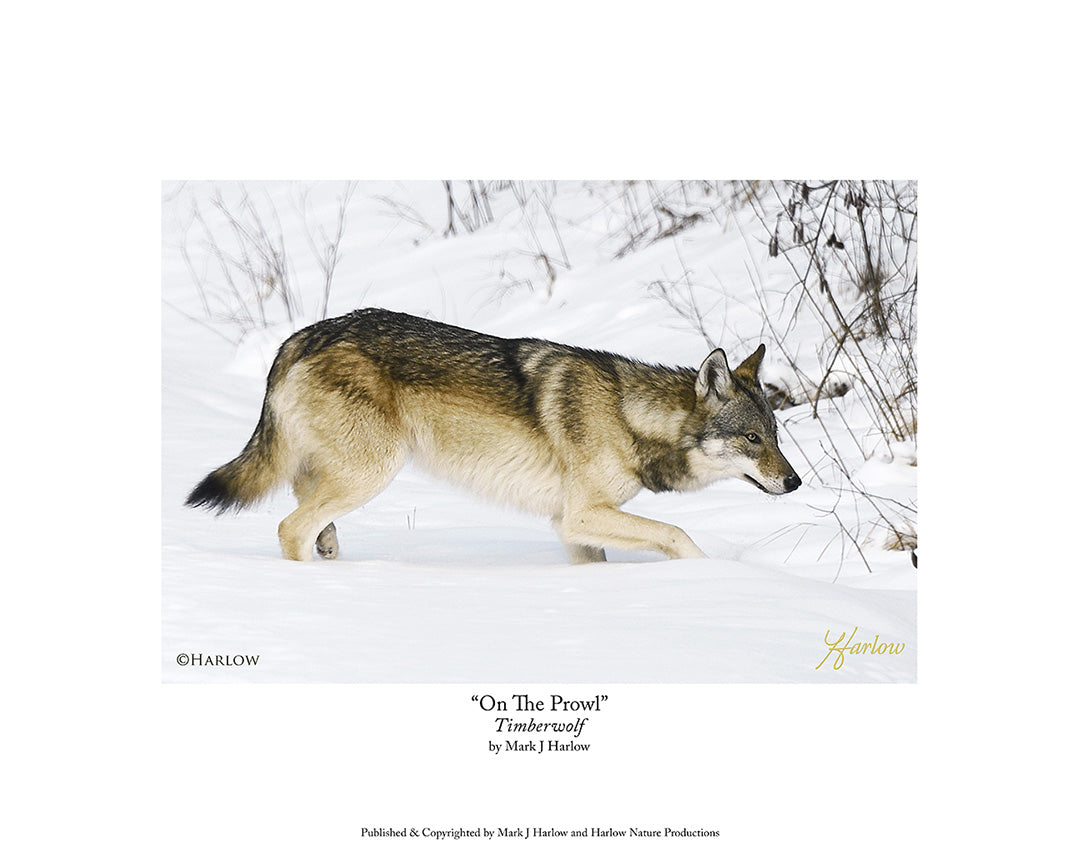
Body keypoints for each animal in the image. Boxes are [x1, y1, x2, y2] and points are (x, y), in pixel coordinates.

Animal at [186, 308, 801, 563]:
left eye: (775, 434)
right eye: (752, 439)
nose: (795, 483)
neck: (630, 415)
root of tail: (301, 336)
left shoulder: (570, 528)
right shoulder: (582, 515)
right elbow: (678, 534)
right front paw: (709, 578)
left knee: (308, 514)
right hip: (373, 471)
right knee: (290, 527)